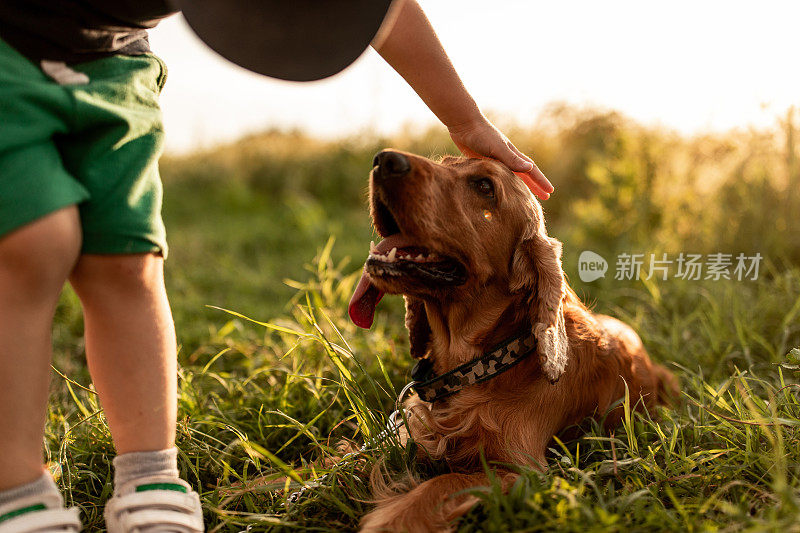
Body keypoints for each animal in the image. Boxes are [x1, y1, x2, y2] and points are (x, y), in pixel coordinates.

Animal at [346, 151, 680, 532]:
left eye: (484, 186)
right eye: (445, 161)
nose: (384, 159)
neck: (481, 366)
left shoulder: (522, 470)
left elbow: (444, 482)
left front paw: (392, 520)